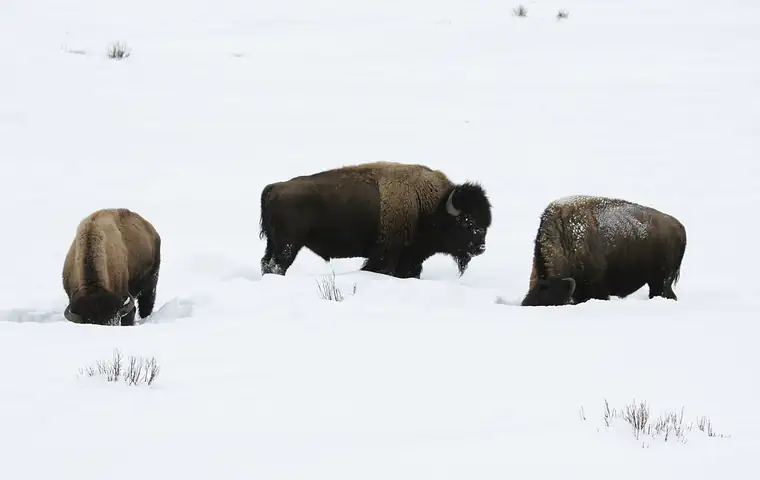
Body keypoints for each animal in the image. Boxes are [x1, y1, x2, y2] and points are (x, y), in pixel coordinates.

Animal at [259, 161, 492, 279]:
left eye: (486, 223)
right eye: (467, 222)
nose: (480, 247)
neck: (428, 205)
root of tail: (274, 187)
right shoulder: (385, 256)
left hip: (273, 244)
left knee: (267, 264)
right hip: (288, 246)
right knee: (277, 266)